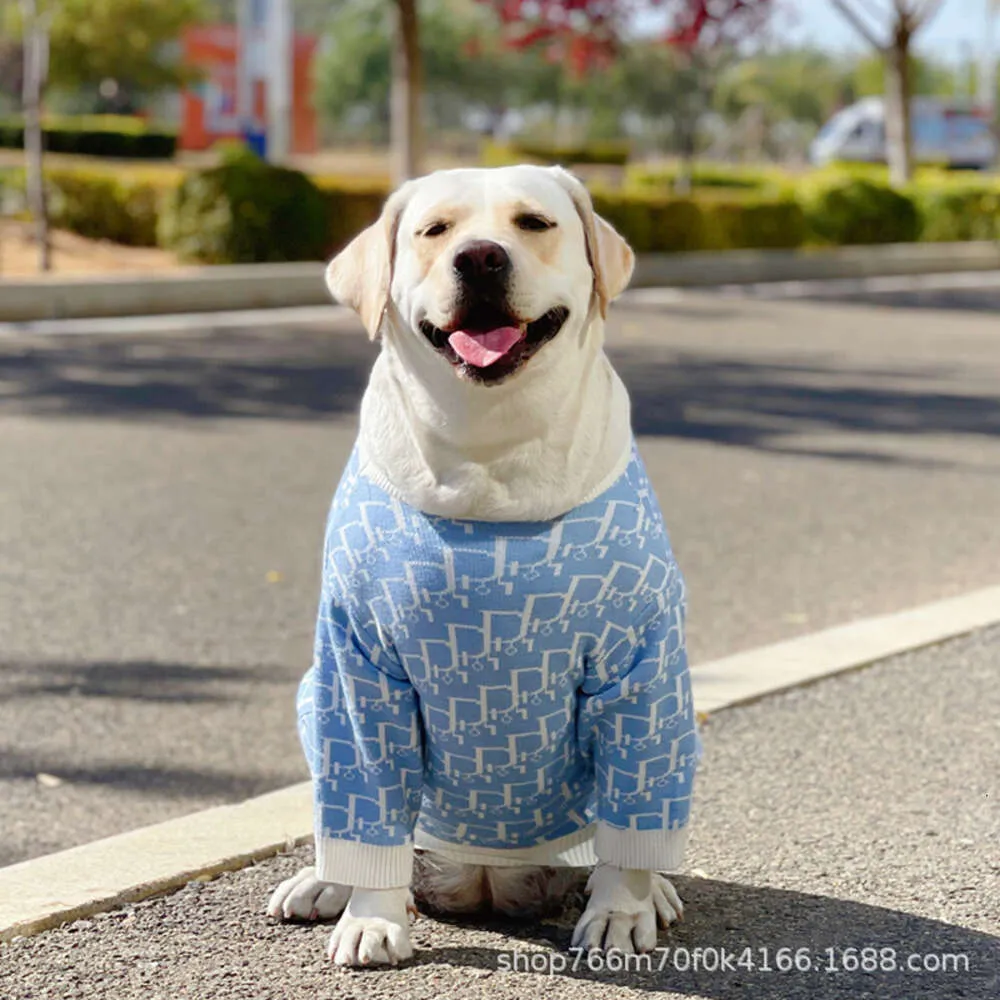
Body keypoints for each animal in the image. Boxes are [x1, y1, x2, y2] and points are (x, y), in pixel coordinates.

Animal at [270, 166, 700, 968]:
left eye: (533, 222)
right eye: (434, 231)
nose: (479, 258)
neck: (489, 452)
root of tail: (485, 881)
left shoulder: (643, 668)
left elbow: (633, 815)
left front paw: (623, 909)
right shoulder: (356, 666)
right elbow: (368, 801)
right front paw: (373, 916)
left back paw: (647, 890)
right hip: (314, 696)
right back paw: (327, 881)